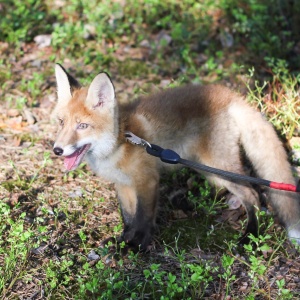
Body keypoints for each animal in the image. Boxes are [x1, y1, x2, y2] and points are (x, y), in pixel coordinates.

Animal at [52, 63, 300, 251]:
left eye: (83, 126)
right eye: (61, 122)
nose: (57, 150)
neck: (120, 143)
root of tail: (230, 95)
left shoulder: (147, 182)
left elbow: (143, 218)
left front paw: (137, 247)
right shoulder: (123, 185)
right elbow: (128, 218)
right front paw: (123, 242)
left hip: (219, 165)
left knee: (254, 195)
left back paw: (250, 235)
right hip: (208, 169)